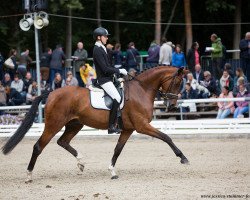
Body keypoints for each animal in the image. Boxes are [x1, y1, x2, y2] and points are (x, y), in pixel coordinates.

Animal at [1, 66, 188, 182]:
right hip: (54, 124)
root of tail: (52, 93)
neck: (141, 89)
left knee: (63, 141)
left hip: (75, 124)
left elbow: (118, 150)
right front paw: (183, 158)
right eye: (178, 82)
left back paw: (81, 163)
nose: (172, 106)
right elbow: (166, 137)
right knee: (38, 146)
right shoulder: (141, 126)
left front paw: (112, 171)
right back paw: (29, 175)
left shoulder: (128, 129)